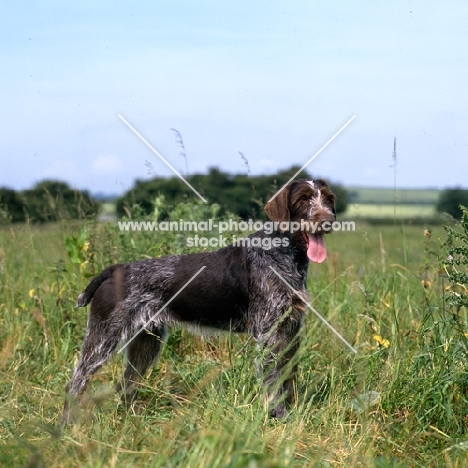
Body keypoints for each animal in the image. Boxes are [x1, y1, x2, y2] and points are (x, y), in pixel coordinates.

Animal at [63, 178, 336, 420]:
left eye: (328, 199)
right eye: (303, 199)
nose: (327, 221)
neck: (285, 253)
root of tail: (114, 270)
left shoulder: (291, 329)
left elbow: (288, 378)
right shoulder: (270, 333)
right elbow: (274, 380)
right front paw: (278, 416)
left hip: (146, 341)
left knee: (125, 384)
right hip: (103, 338)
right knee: (76, 383)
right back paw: (67, 427)